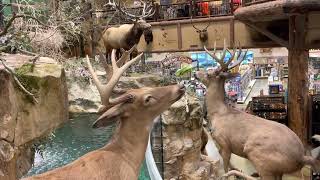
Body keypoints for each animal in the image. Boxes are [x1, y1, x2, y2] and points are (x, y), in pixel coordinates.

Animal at [195, 40, 320, 179]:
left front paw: (227, 174)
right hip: (276, 168)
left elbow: (226, 167)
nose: (195, 73)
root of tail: (301, 158)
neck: (218, 113)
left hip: (258, 156)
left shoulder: (225, 143)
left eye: (208, 73)